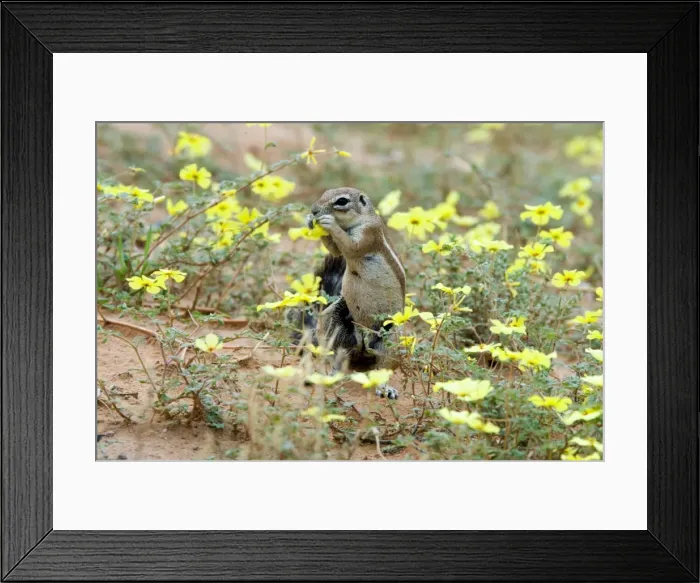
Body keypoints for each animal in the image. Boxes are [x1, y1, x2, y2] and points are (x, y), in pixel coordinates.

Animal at [299, 187, 406, 399]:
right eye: (324, 192)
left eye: (341, 201)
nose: (314, 210)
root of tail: (364, 343)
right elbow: (336, 250)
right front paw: (309, 219)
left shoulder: (368, 234)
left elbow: (351, 246)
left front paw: (329, 223)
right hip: (334, 317)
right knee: (340, 353)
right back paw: (331, 374)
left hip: (393, 334)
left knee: (384, 366)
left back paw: (385, 388)